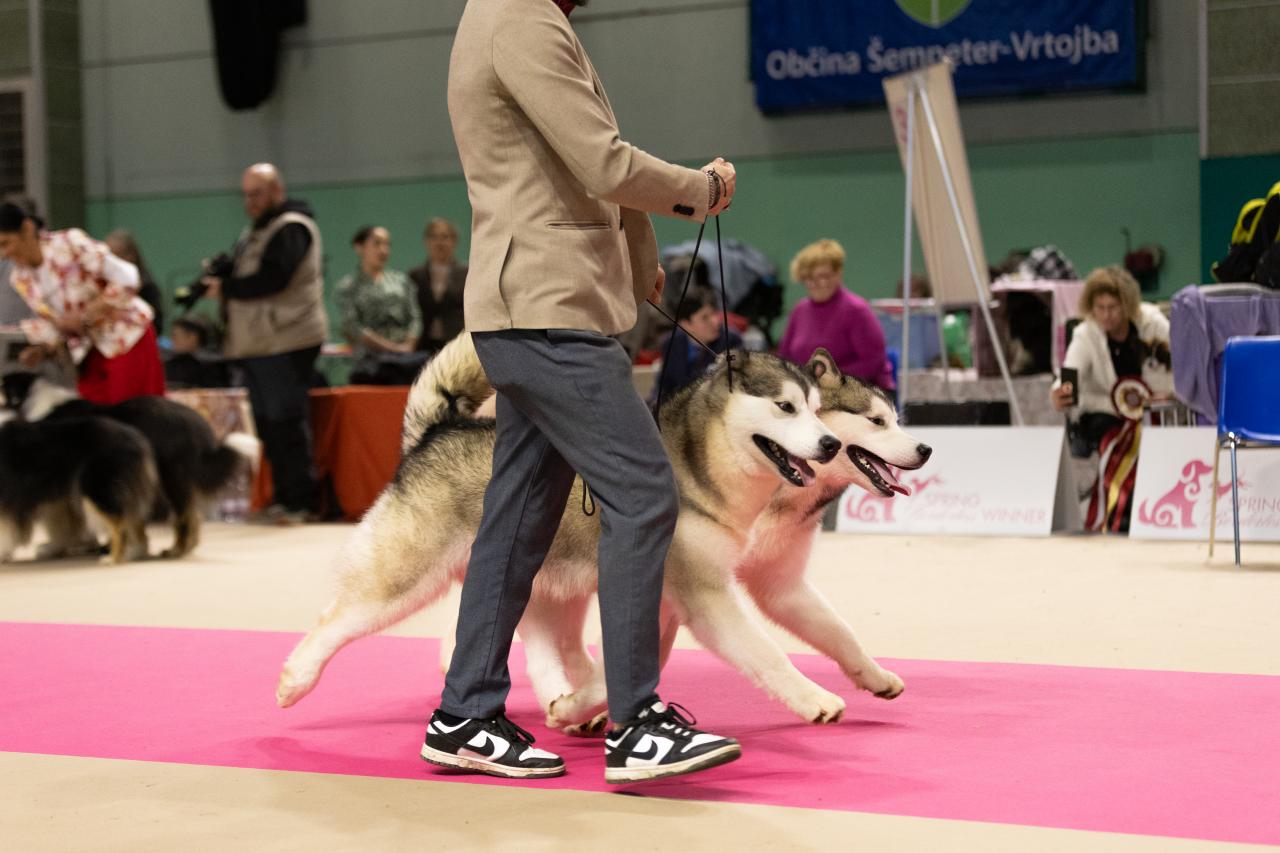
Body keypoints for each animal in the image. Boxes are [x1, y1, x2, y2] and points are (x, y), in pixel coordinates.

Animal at [0, 407, 157, 563]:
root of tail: (136, 437)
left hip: (97, 489)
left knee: (118, 526)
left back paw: (113, 559)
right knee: (134, 523)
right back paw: (134, 553)